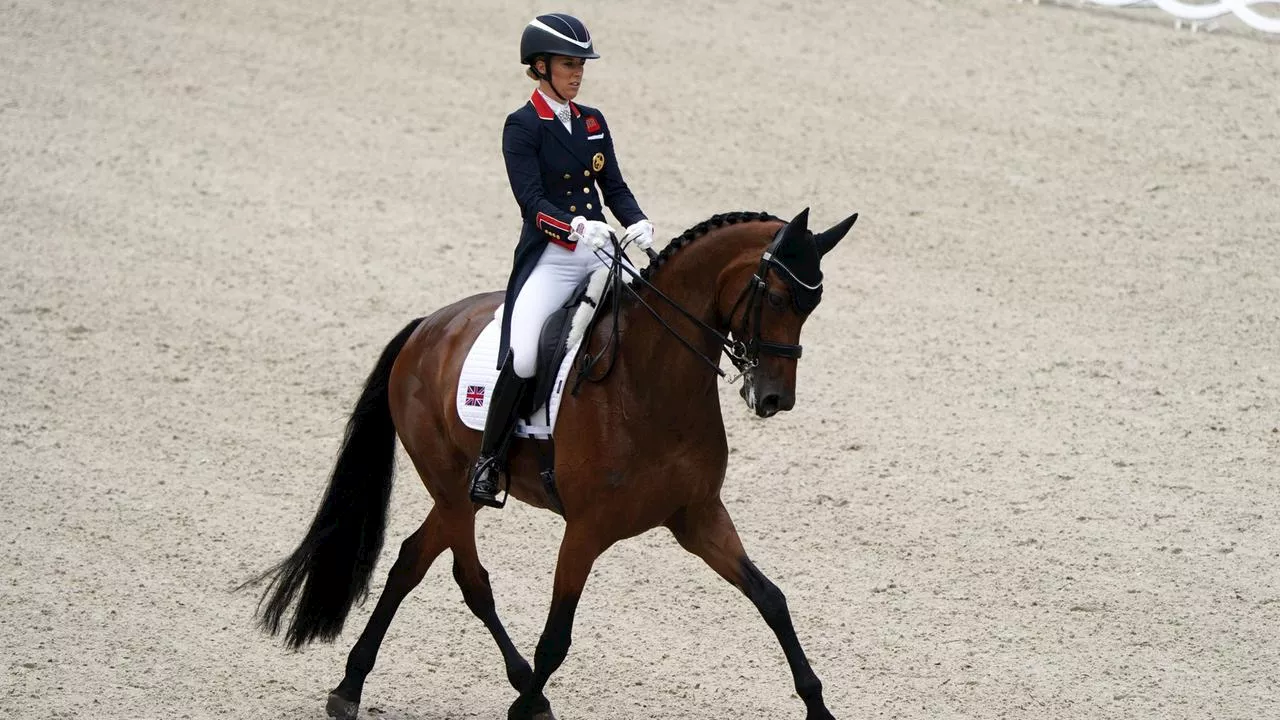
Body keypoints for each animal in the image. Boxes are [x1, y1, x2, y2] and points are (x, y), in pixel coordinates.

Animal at [245, 207, 855, 717]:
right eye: (777, 299)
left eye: (813, 305)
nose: (774, 399)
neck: (651, 383)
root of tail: (426, 328)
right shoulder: (586, 530)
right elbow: (556, 637)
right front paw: (524, 708)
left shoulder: (698, 516)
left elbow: (772, 600)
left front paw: (818, 708)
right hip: (451, 487)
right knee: (470, 579)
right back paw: (512, 692)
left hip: (455, 494)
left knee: (410, 561)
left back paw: (352, 685)